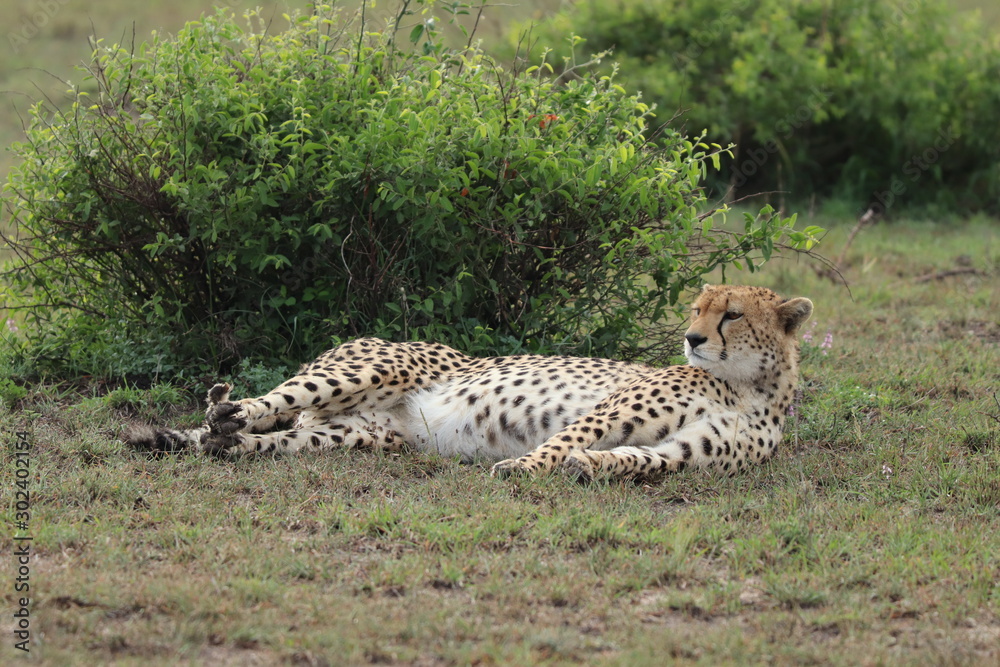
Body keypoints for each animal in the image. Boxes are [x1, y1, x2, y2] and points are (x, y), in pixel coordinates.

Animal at [127, 284, 813, 481]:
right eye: (697, 308)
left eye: (731, 314)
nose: (693, 339)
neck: (750, 386)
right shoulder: (612, 407)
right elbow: (566, 438)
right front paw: (525, 468)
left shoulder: (688, 451)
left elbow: (640, 459)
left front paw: (593, 466)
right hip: (364, 368)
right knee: (267, 401)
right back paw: (226, 410)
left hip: (350, 436)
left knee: (273, 438)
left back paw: (226, 440)